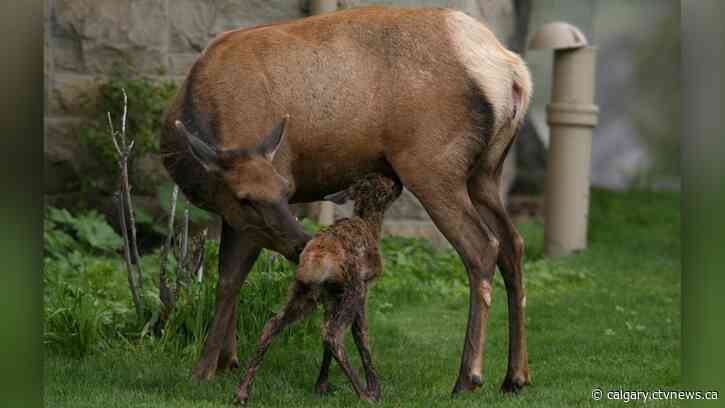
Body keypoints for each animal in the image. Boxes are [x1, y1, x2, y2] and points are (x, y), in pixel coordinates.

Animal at [234, 174, 402, 405]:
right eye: (388, 182)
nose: (400, 183)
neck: (371, 226)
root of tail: (316, 260)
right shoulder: (364, 287)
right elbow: (362, 335)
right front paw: (375, 390)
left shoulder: (331, 298)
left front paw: (321, 386)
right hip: (351, 288)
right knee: (332, 334)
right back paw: (363, 394)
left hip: (303, 292)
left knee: (273, 324)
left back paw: (242, 392)